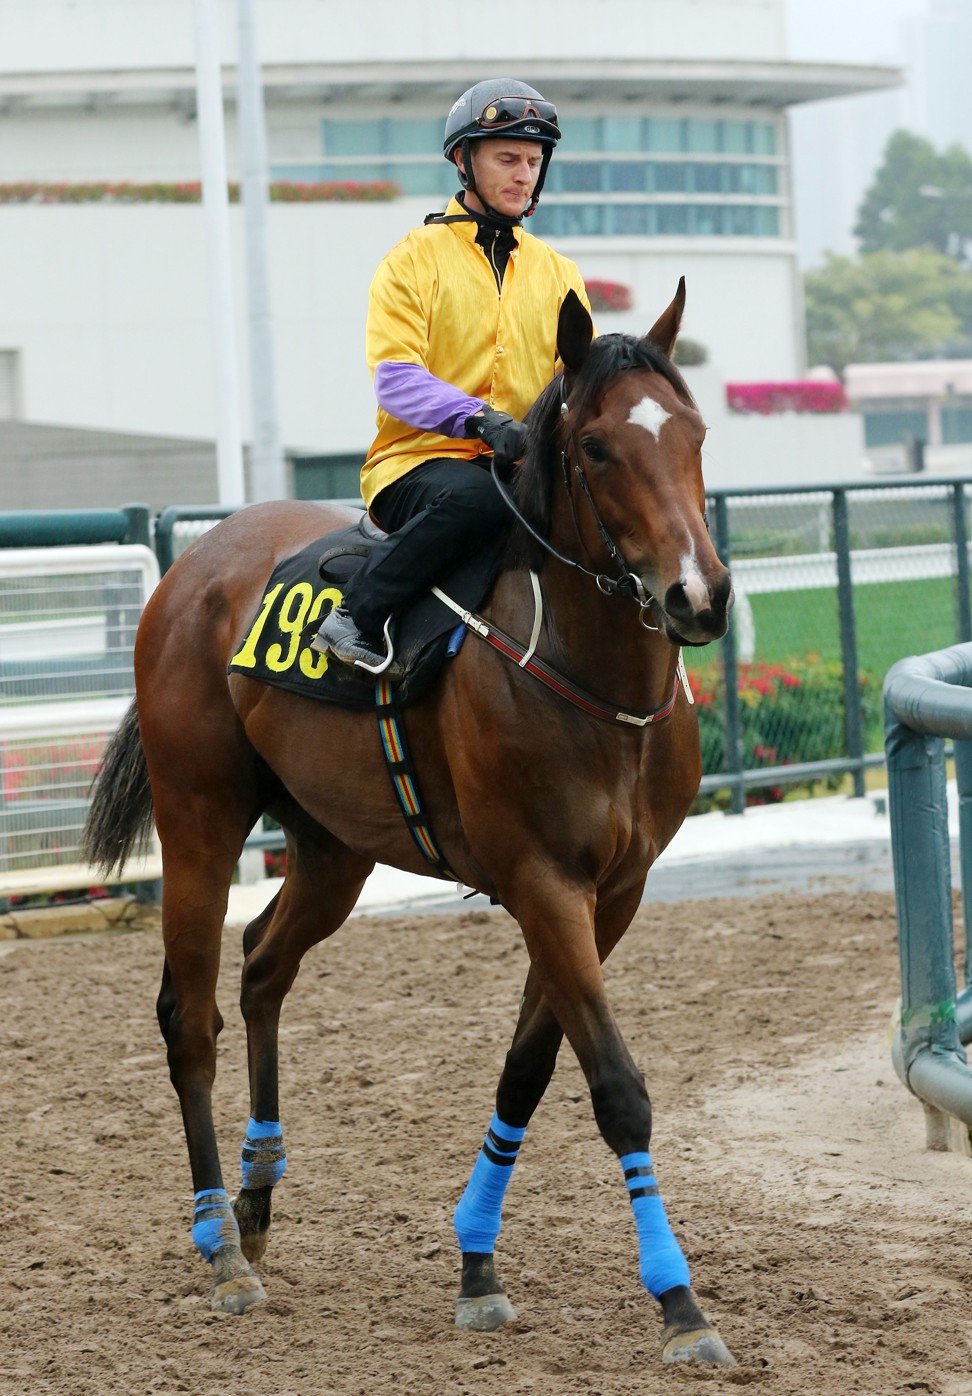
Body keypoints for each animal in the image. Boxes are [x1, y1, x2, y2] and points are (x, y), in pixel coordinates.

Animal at [85, 280, 737, 1362]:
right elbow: (616, 1087)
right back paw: (221, 1247)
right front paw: (679, 1304)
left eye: (694, 432)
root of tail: (194, 566)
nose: (699, 595)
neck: (588, 678)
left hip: (332, 847)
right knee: (191, 1015)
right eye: (598, 446)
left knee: (264, 965)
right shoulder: (543, 884)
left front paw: (476, 1262)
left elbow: (527, 1072)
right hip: (200, 819)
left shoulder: (612, 895)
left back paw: (257, 1203)